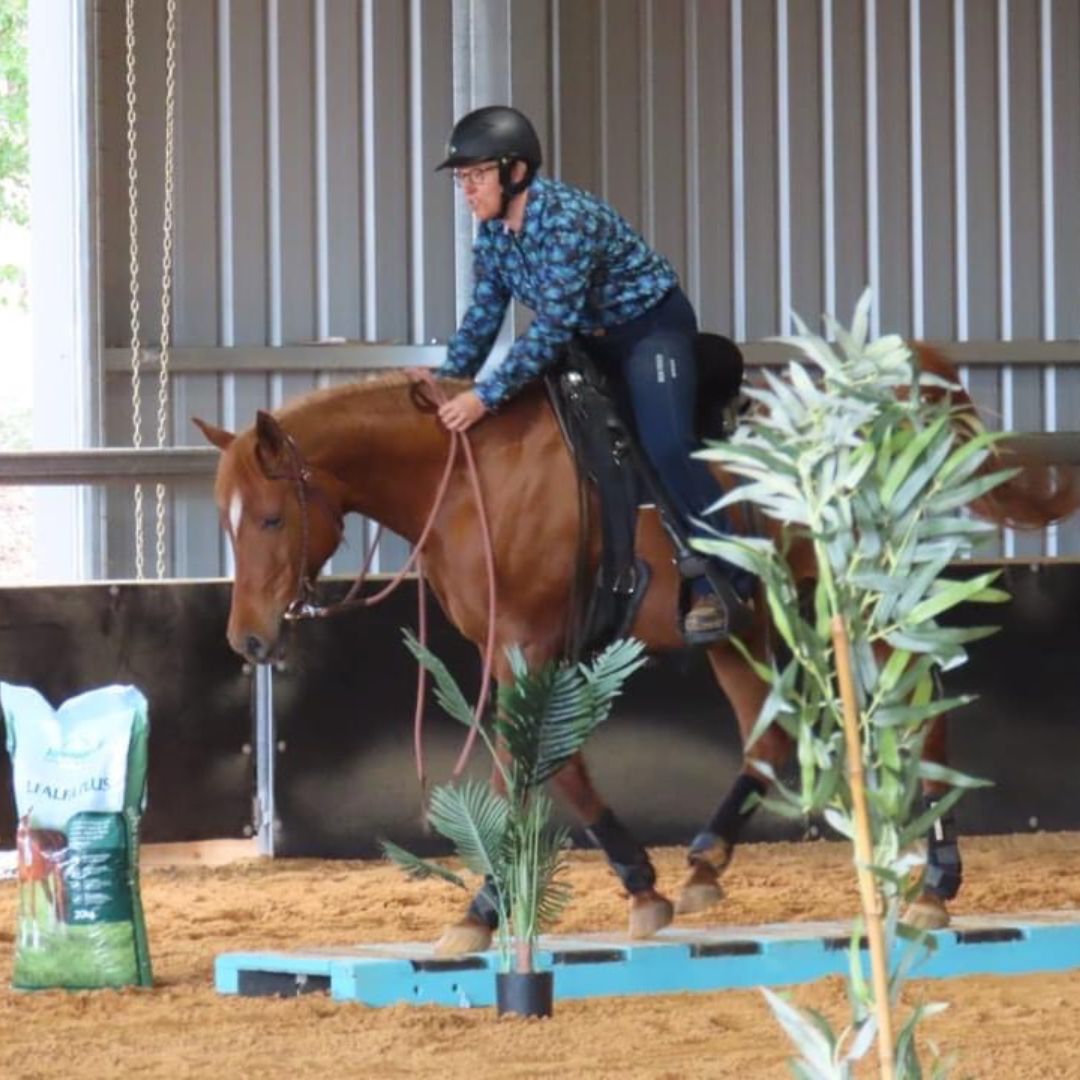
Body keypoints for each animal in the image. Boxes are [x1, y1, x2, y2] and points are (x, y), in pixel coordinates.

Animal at [194, 343, 1078, 955]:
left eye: (270, 516)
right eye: (225, 520)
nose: (249, 638)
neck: (475, 476)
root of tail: (913, 391)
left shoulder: (529, 644)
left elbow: (541, 771)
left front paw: (494, 907)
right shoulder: (506, 649)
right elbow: (545, 770)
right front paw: (632, 886)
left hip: (882, 596)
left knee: (924, 711)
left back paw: (936, 882)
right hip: (746, 626)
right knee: (771, 740)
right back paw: (707, 861)